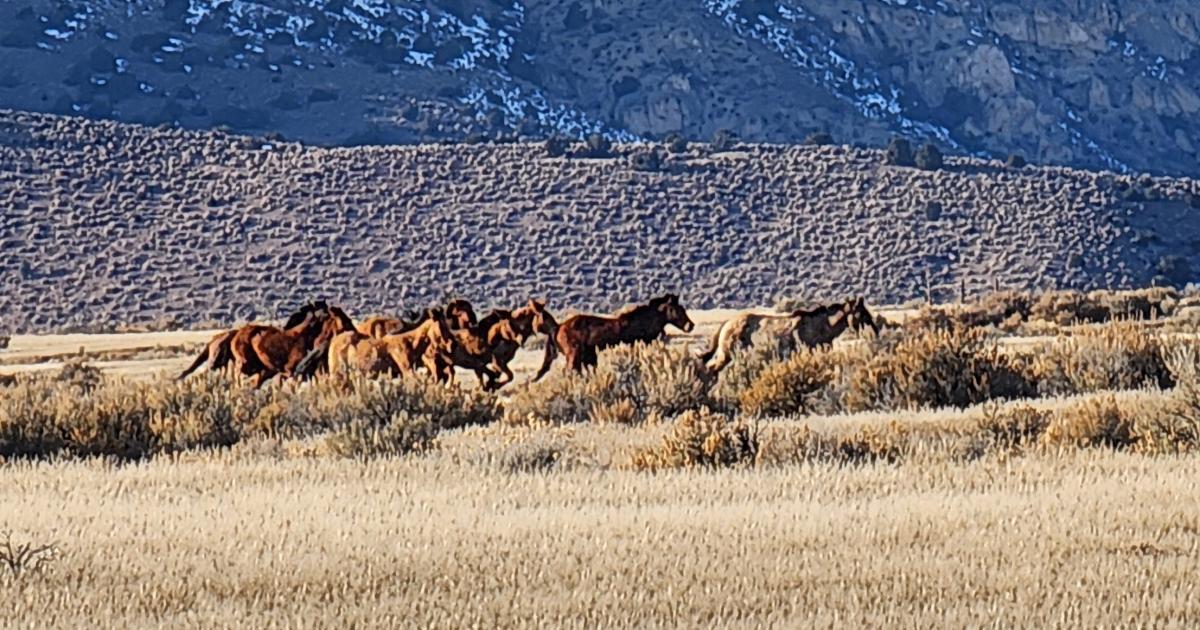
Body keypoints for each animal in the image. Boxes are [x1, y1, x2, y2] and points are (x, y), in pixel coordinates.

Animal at [535, 294, 696, 381]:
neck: (642, 322)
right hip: (574, 355)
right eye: (676, 309)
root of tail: (559, 326)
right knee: (569, 372)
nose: (690, 325)